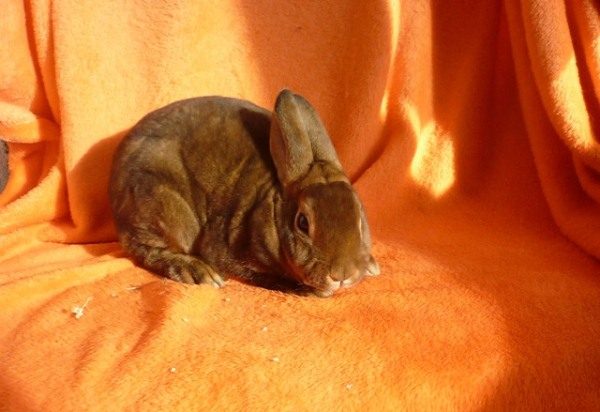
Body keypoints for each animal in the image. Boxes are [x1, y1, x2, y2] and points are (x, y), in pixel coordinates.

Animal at [109, 89, 380, 296]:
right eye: (303, 223)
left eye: (359, 219)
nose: (342, 274)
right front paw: (312, 291)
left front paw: (371, 266)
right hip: (162, 206)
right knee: (146, 249)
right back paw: (198, 272)